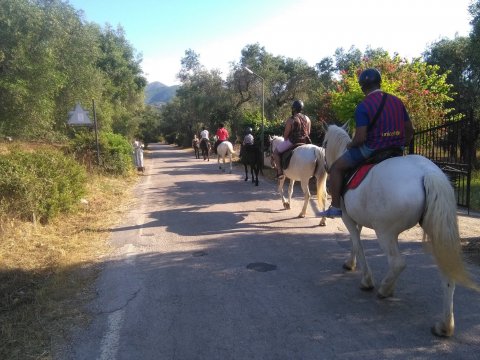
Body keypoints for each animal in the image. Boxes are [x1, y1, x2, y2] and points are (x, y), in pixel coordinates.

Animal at [320, 124, 478, 338]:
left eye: (324, 143)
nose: (326, 168)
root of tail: (426, 173)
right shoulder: (356, 218)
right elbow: (355, 243)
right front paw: (350, 263)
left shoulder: (347, 217)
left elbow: (357, 244)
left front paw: (366, 279)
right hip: (436, 232)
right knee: (446, 273)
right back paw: (444, 325)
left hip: (385, 232)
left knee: (397, 263)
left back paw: (385, 289)